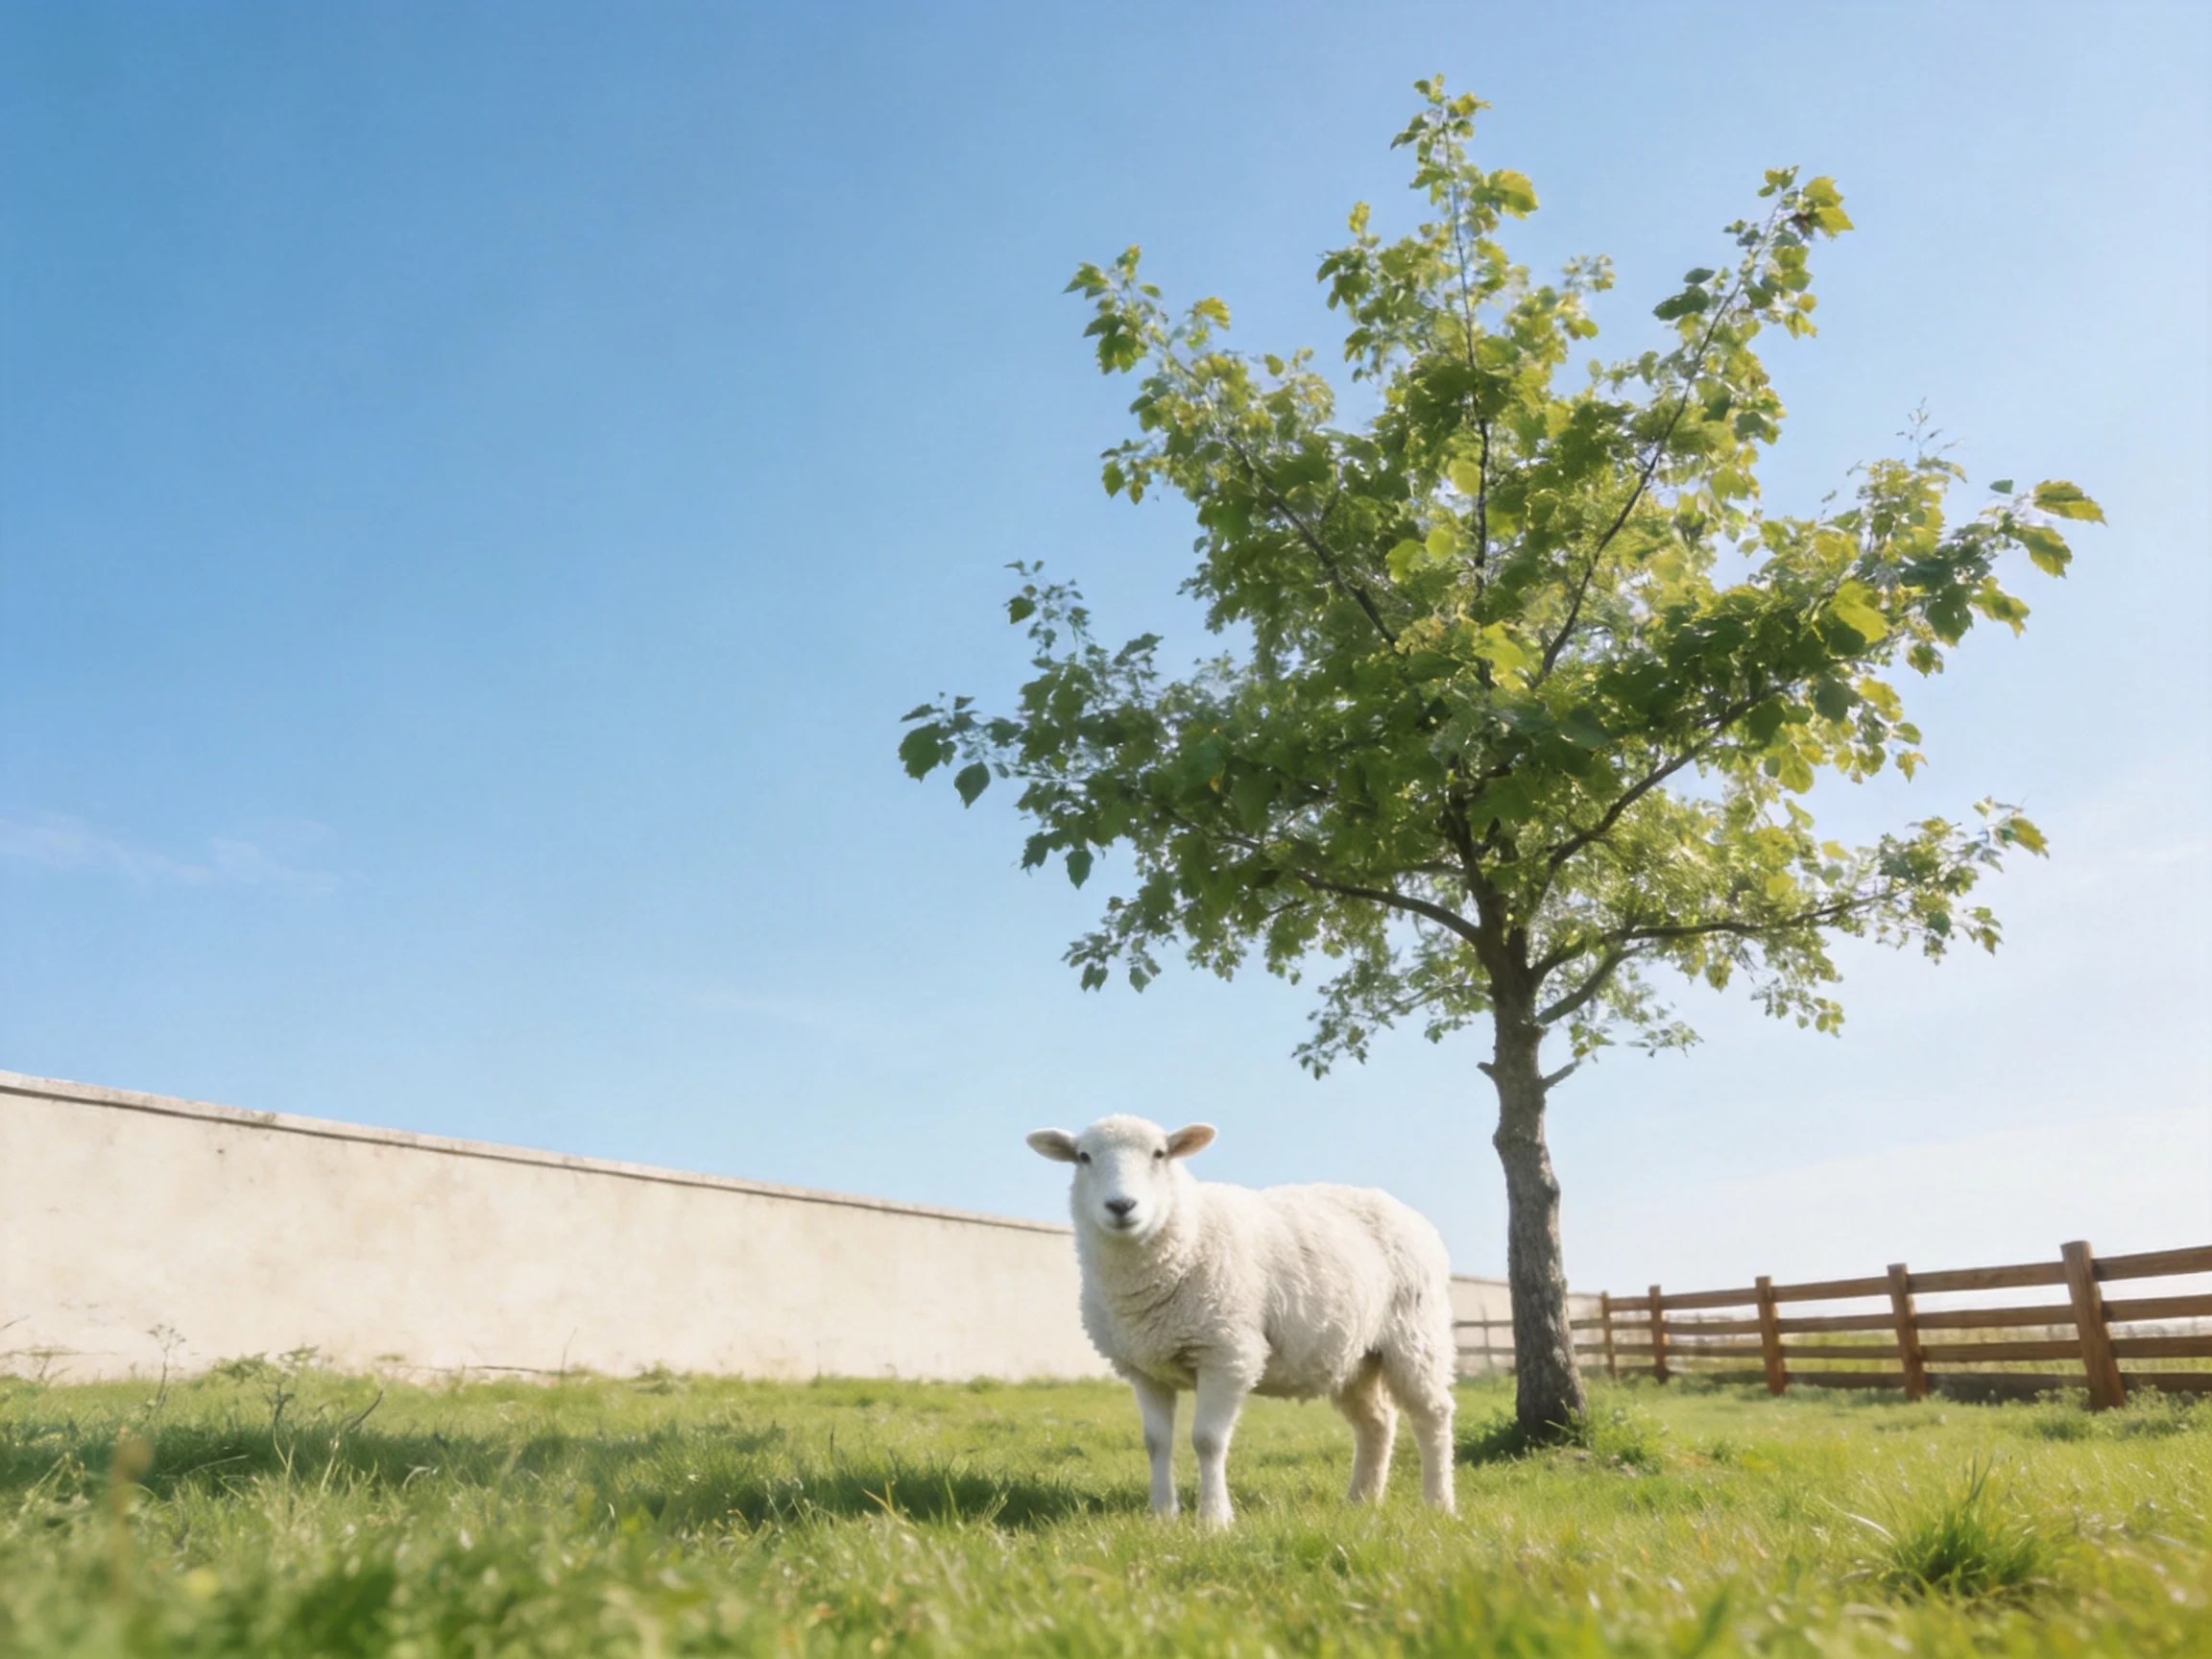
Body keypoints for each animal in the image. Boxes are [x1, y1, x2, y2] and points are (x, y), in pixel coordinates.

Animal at [1027, 1113, 1457, 1529]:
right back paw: (1362, 1500)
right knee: (1377, 1422)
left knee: (1432, 1415)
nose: (1121, 1205)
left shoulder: (1227, 1352)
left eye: (1160, 1154)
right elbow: (1156, 1442)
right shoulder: (1145, 1367)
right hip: (1356, 1355)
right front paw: (1162, 1515)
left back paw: (1438, 1503)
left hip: (1416, 1335)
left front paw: (1214, 1520)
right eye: (1083, 1157)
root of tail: (1408, 1213)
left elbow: (1207, 1440)